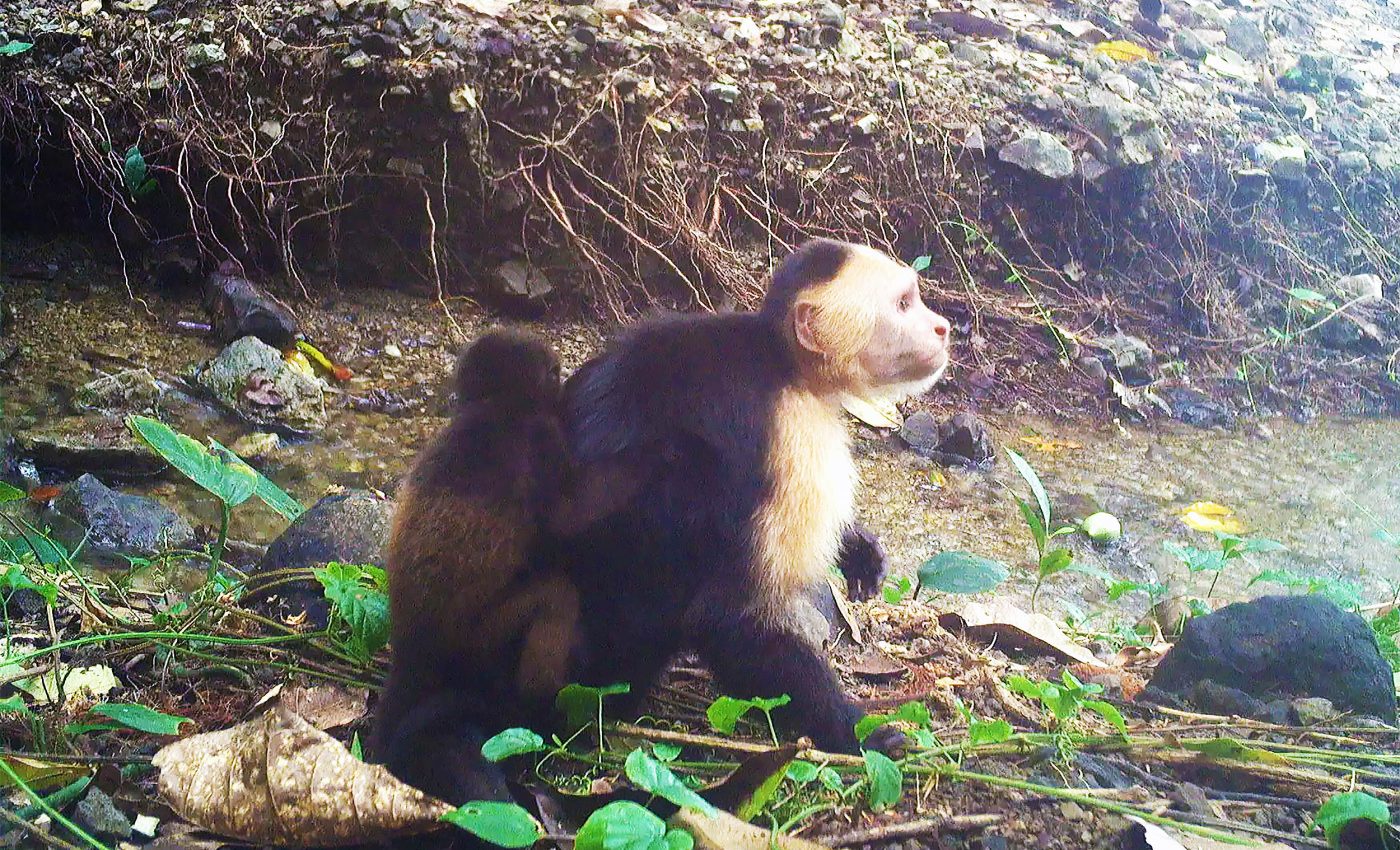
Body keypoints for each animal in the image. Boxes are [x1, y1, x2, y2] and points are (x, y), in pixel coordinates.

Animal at [558, 238, 951, 756]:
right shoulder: (793, 436)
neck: (787, 364)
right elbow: (727, 618)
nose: (943, 326)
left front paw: (859, 548)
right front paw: (851, 729)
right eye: (904, 304)